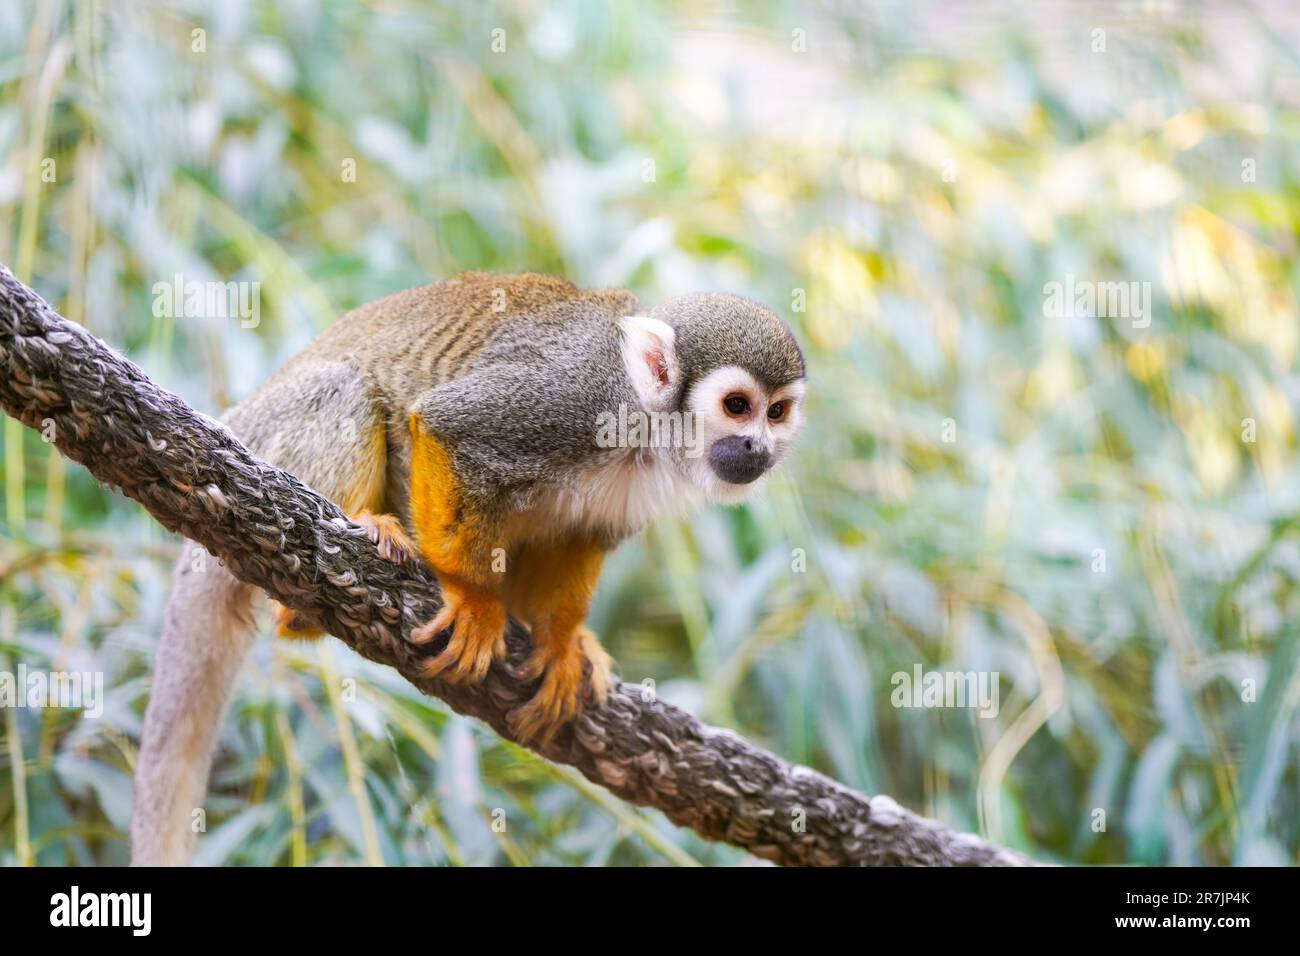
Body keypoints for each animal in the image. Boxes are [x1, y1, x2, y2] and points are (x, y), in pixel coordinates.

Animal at [129, 270, 800, 868]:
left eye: (777, 413)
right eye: (736, 406)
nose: (758, 449)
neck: (647, 426)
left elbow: (577, 539)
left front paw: (561, 643)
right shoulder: (575, 397)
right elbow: (449, 428)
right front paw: (473, 599)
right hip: (273, 436)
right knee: (345, 388)